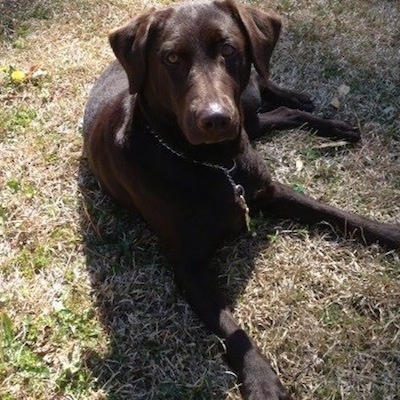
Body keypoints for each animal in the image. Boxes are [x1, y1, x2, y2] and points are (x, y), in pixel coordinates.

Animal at [82, 1, 400, 398]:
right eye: (171, 58)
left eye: (229, 49)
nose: (215, 119)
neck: (215, 164)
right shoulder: (188, 267)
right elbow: (231, 328)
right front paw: (261, 380)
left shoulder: (270, 191)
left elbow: (338, 214)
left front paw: (391, 232)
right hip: (248, 119)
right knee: (274, 116)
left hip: (247, 105)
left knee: (268, 91)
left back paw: (316, 112)